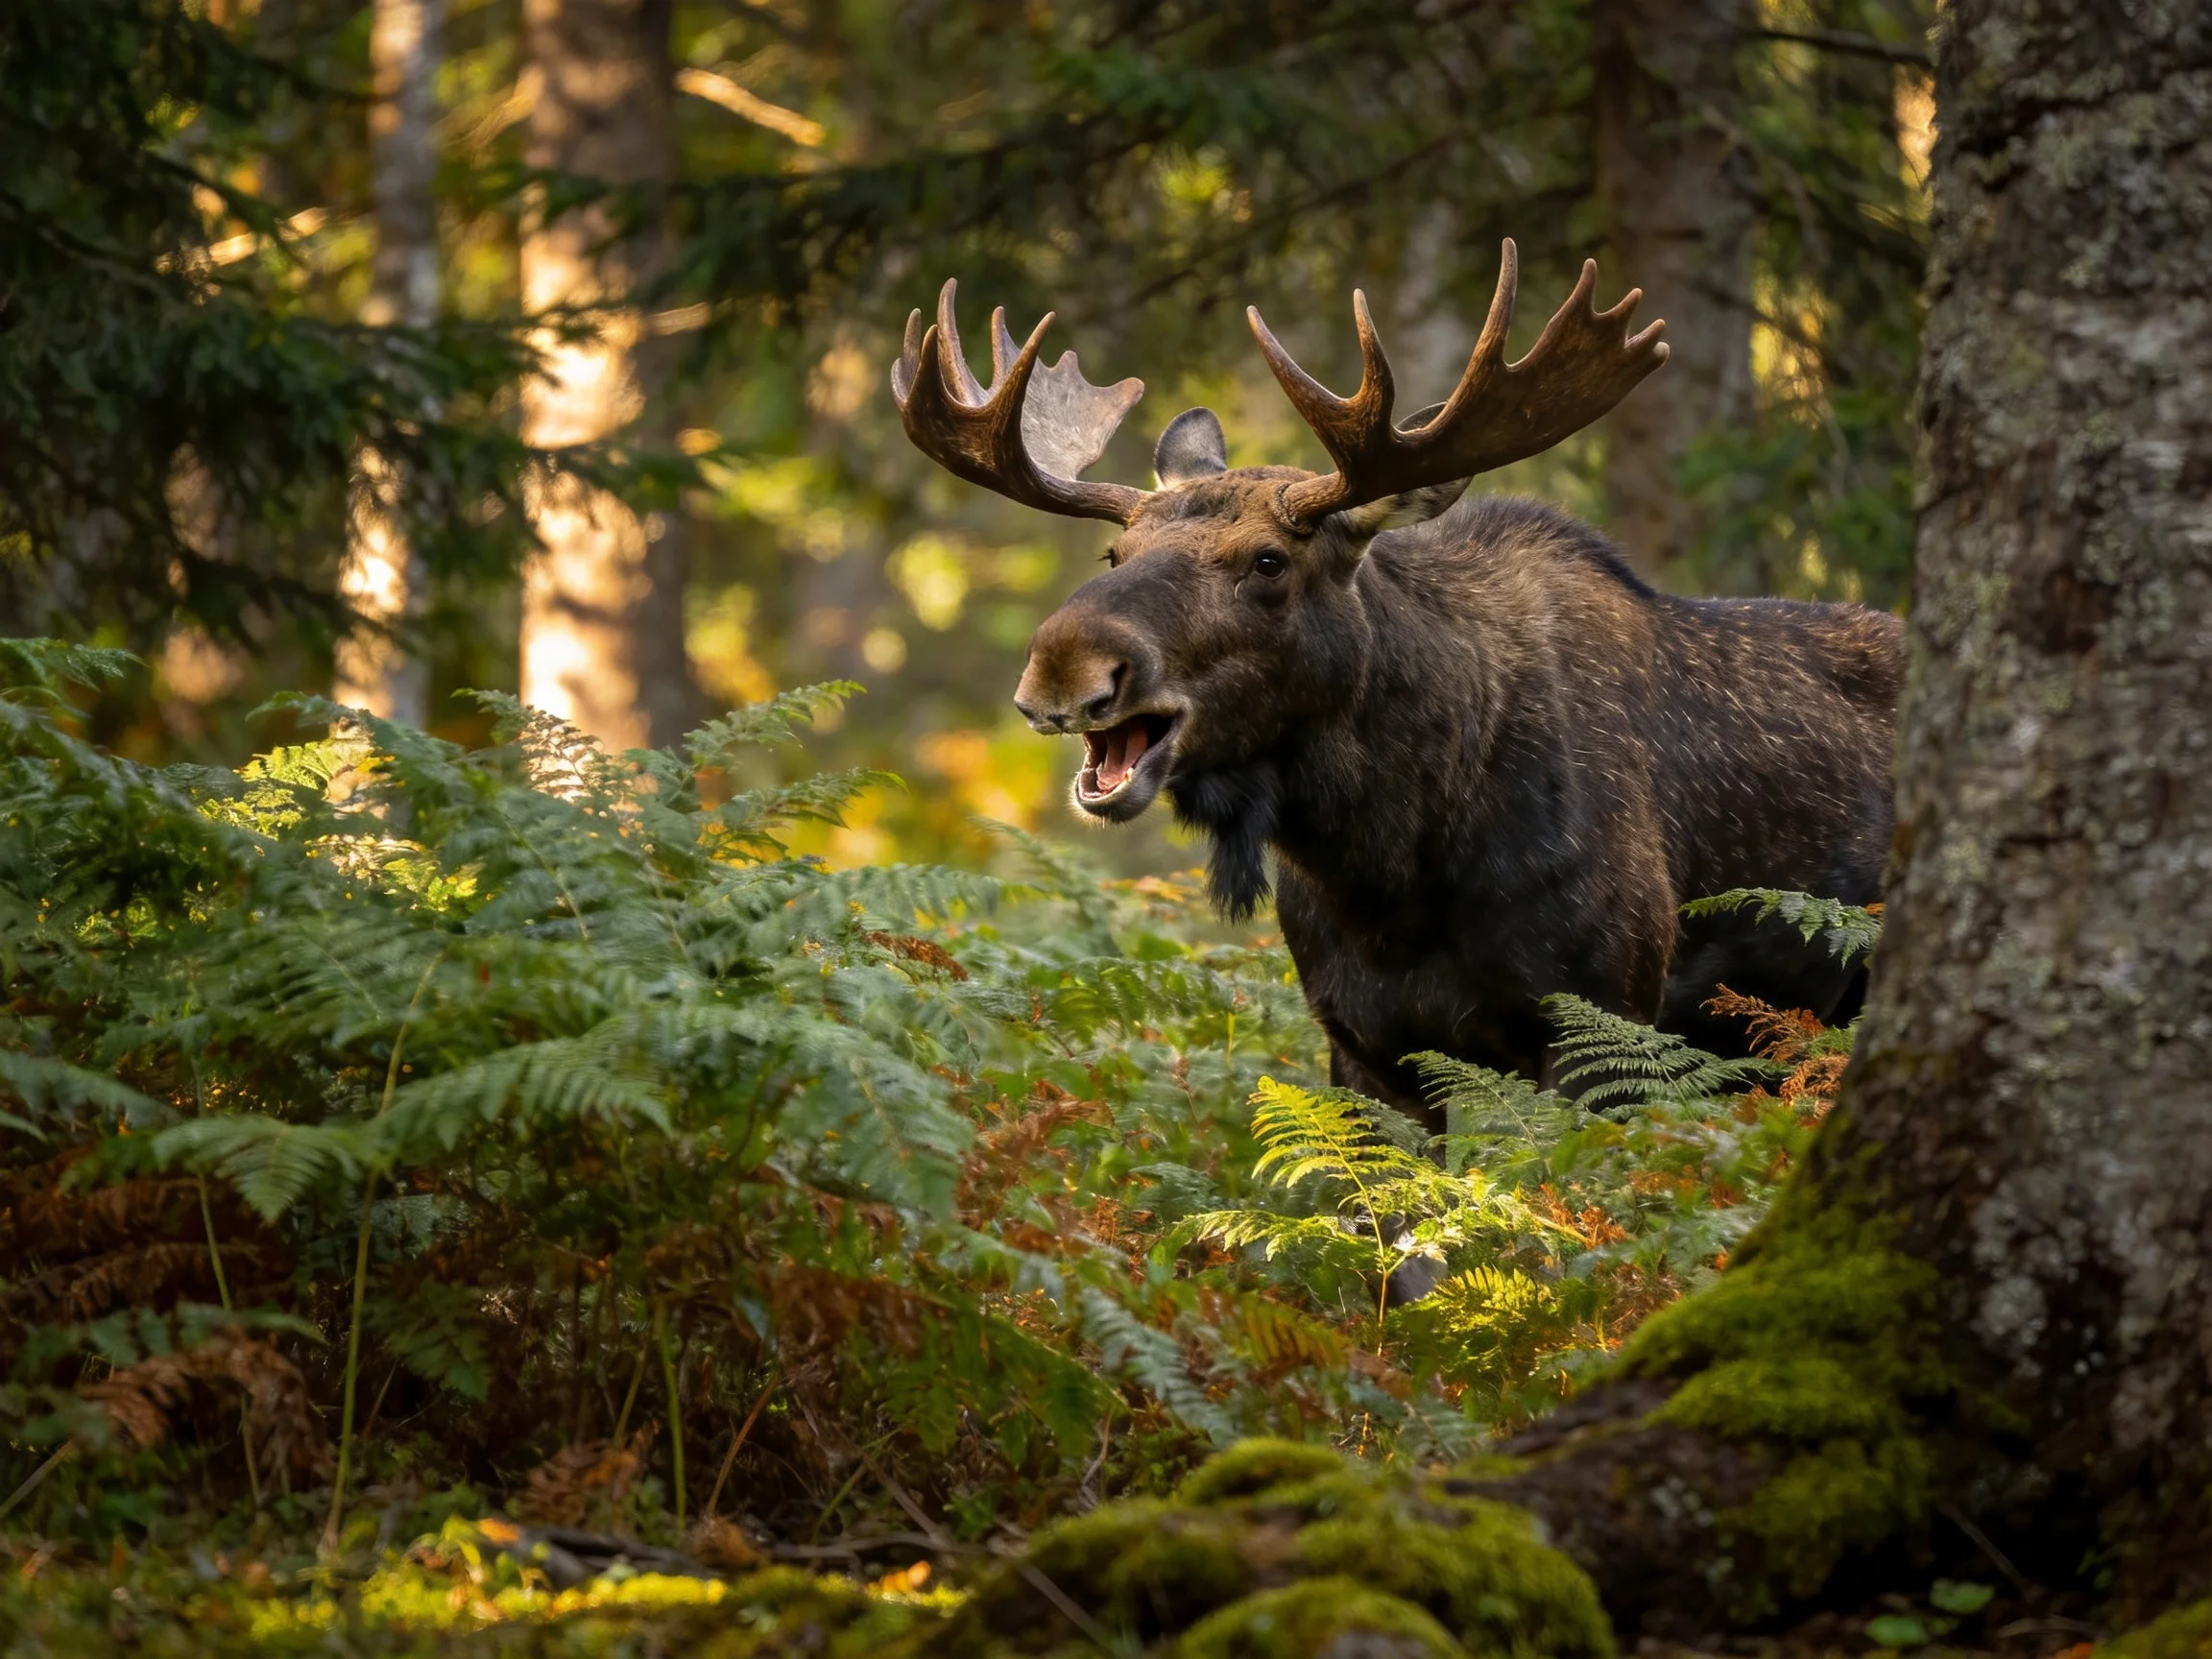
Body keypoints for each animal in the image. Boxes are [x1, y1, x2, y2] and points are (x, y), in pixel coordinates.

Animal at [889, 242, 1902, 1127]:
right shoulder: (1366, 1047)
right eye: (1114, 553)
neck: (1390, 861)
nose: (1063, 665)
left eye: (1268, 560)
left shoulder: (1604, 1019)